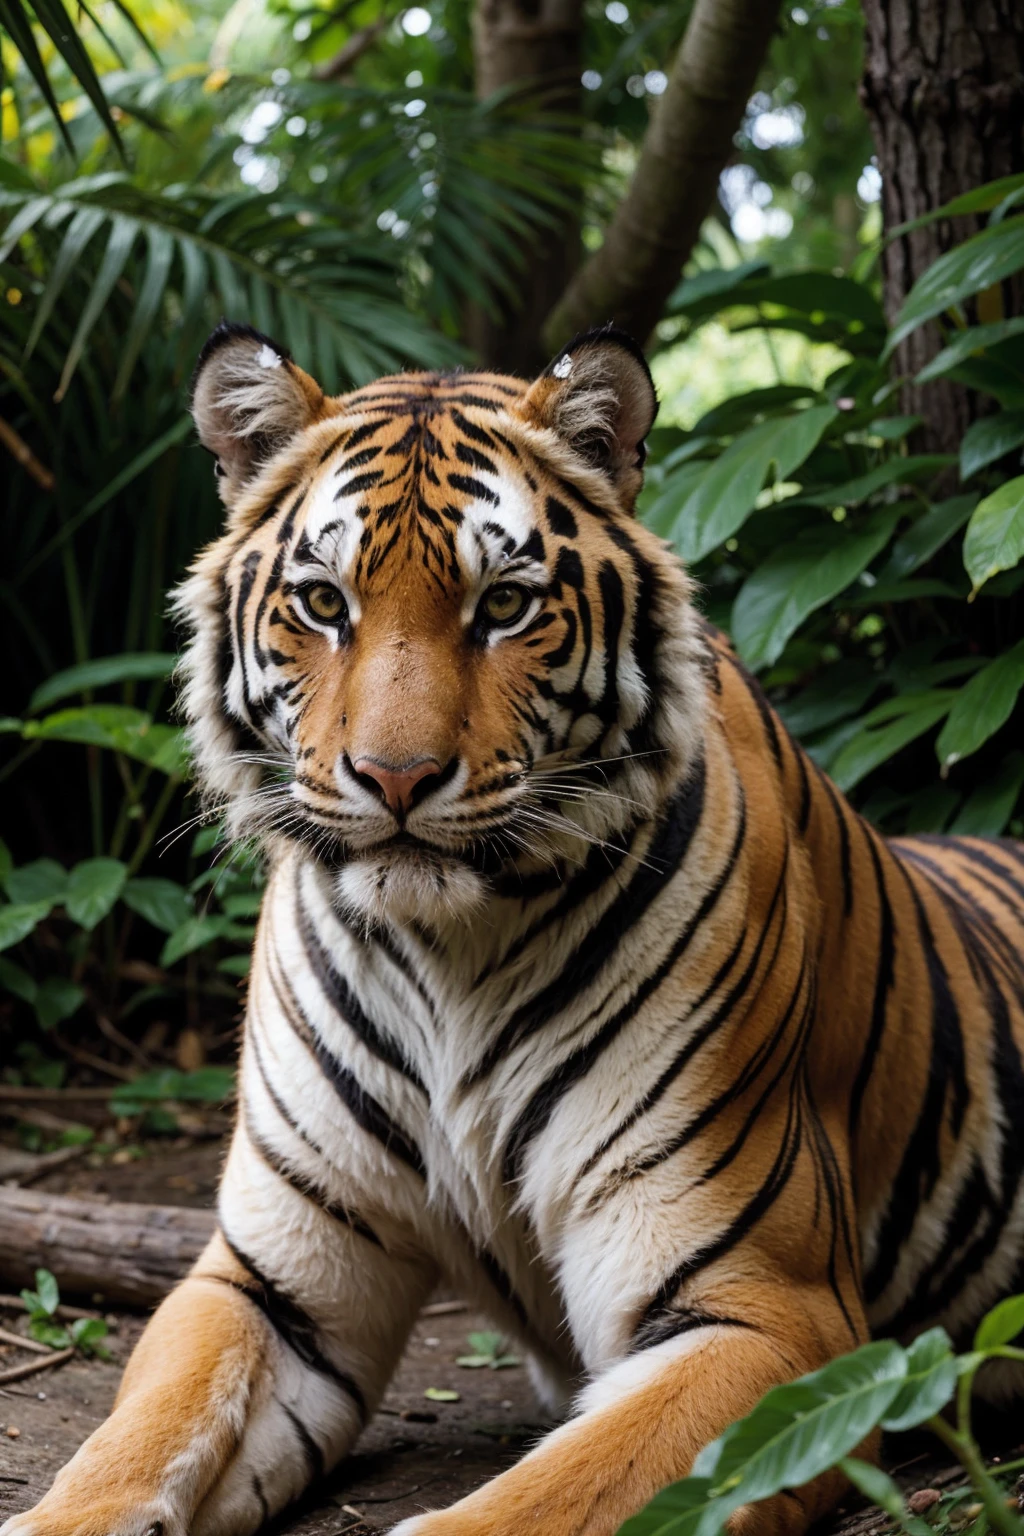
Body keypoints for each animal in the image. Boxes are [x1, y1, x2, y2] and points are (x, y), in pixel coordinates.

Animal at [8, 314, 1024, 1536]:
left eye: (504, 606)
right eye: (323, 603)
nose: (396, 777)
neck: (444, 949)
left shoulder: (772, 1313)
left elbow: (541, 1502)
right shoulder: (269, 1283)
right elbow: (129, 1449)